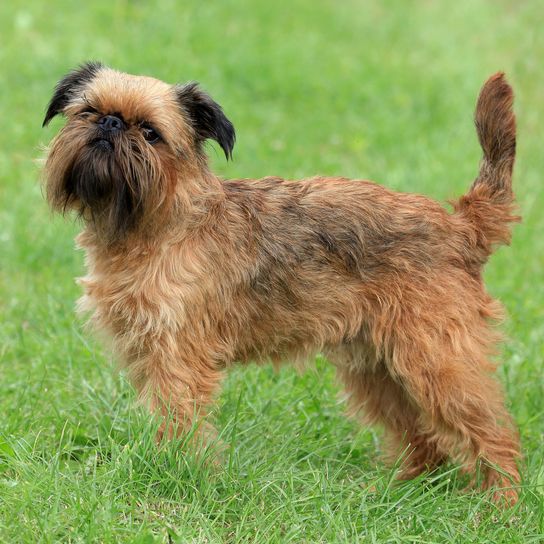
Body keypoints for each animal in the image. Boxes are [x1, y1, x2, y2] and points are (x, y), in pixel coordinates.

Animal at [41, 62, 520, 502]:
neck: (157, 222)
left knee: (494, 433)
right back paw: (400, 491)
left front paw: (174, 475)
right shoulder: (146, 352)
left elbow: (176, 418)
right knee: (423, 436)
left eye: (150, 132)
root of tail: (460, 226)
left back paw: (500, 505)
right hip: (377, 367)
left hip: (438, 361)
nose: (110, 123)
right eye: (87, 111)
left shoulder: (176, 357)